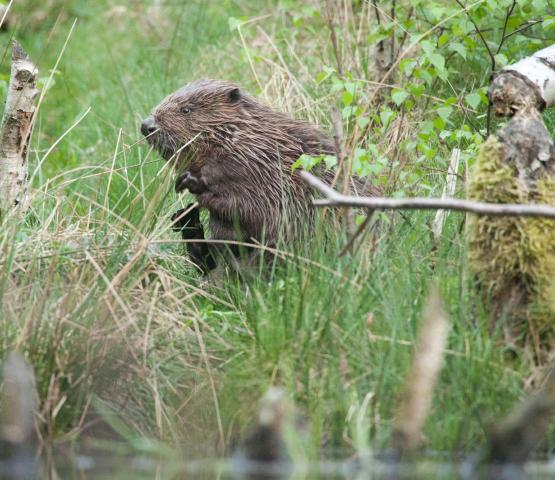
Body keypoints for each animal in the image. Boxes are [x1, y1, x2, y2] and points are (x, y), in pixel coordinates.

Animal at [142, 80, 338, 272]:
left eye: (186, 109)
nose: (146, 125)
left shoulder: (262, 170)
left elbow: (255, 211)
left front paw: (189, 183)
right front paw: (183, 210)